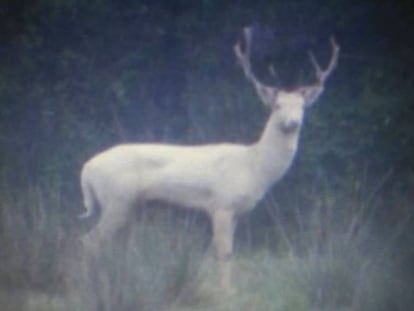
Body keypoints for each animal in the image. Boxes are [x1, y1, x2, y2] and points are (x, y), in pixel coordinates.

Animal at [78, 27, 340, 292]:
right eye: (277, 105)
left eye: (302, 106)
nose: (293, 122)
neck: (254, 167)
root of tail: (87, 169)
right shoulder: (222, 204)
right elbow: (224, 253)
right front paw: (226, 292)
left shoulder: (235, 213)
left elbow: (221, 252)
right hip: (116, 200)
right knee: (89, 242)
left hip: (128, 206)